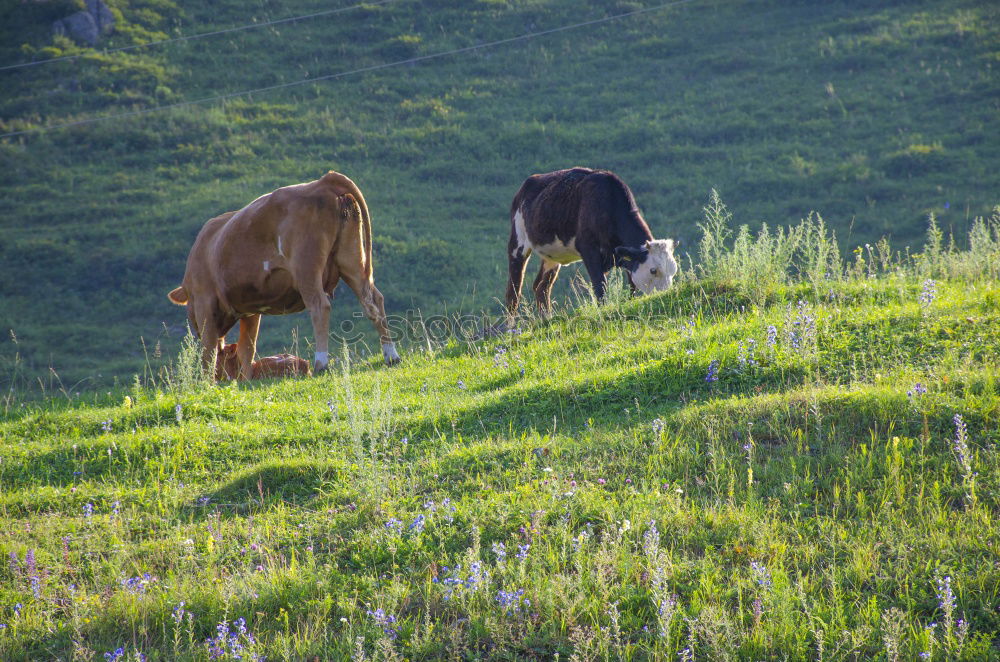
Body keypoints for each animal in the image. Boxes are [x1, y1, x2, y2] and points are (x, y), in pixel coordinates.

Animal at [167, 169, 398, 382]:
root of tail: (323, 181)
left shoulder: (205, 301)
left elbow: (209, 350)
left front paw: (207, 382)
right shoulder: (251, 310)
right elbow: (246, 348)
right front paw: (246, 381)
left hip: (307, 268)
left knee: (320, 306)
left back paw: (321, 363)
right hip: (351, 261)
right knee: (373, 301)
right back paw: (391, 356)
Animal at [504, 167, 676, 320]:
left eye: (674, 271)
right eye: (653, 270)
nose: (666, 295)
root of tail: (528, 183)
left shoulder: (616, 257)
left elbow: (629, 285)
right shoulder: (588, 248)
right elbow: (600, 284)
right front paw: (603, 309)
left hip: (552, 255)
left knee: (541, 287)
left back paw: (546, 319)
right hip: (517, 242)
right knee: (513, 292)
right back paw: (510, 328)